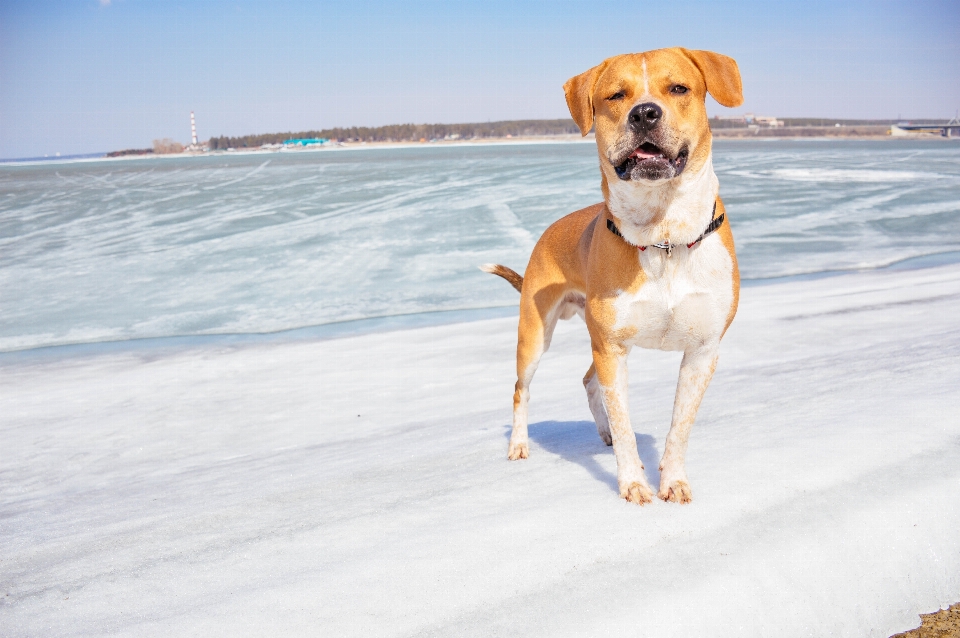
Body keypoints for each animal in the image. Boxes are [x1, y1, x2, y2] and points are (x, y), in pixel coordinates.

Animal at [484, 48, 748, 504]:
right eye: (615, 95)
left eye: (679, 88)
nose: (644, 113)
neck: (664, 238)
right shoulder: (612, 348)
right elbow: (626, 425)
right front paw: (633, 485)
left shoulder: (702, 351)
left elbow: (679, 427)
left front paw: (672, 481)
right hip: (535, 334)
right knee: (523, 388)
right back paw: (519, 444)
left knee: (589, 381)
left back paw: (601, 433)